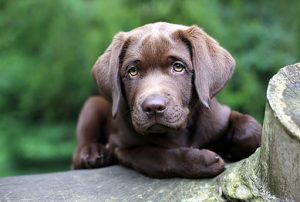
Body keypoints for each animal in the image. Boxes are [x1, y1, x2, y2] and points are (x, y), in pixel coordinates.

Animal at [72, 22, 260, 178]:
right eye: (132, 71)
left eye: (178, 67)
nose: (153, 107)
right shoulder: (123, 147)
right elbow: (158, 156)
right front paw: (202, 161)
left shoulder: (220, 116)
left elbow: (250, 129)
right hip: (92, 105)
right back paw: (93, 152)